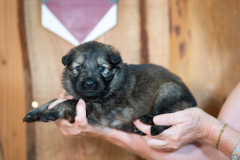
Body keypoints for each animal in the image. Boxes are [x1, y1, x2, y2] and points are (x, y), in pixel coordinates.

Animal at [23, 40, 197, 136]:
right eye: (78, 68)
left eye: (102, 68)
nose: (89, 84)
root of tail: (192, 101)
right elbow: (55, 99)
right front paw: (34, 112)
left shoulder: (98, 110)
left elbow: (67, 102)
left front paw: (52, 111)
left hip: (168, 89)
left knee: (169, 111)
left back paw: (148, 120)